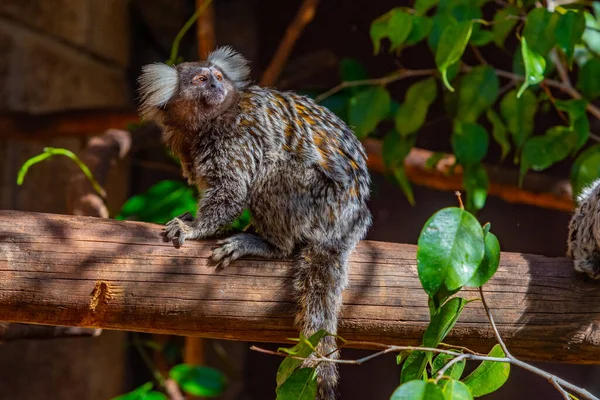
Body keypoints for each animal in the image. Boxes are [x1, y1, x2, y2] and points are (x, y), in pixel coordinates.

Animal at [139, 46, 372, 396]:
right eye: (200, 80)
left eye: (217, 77)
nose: (215, 88)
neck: (207, 123)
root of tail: (349, 222)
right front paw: (191, 217)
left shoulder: (234, 137)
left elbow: (232, 190)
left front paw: (194, 228)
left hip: (319, 201)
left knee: (273, 172)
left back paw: (268, 244)